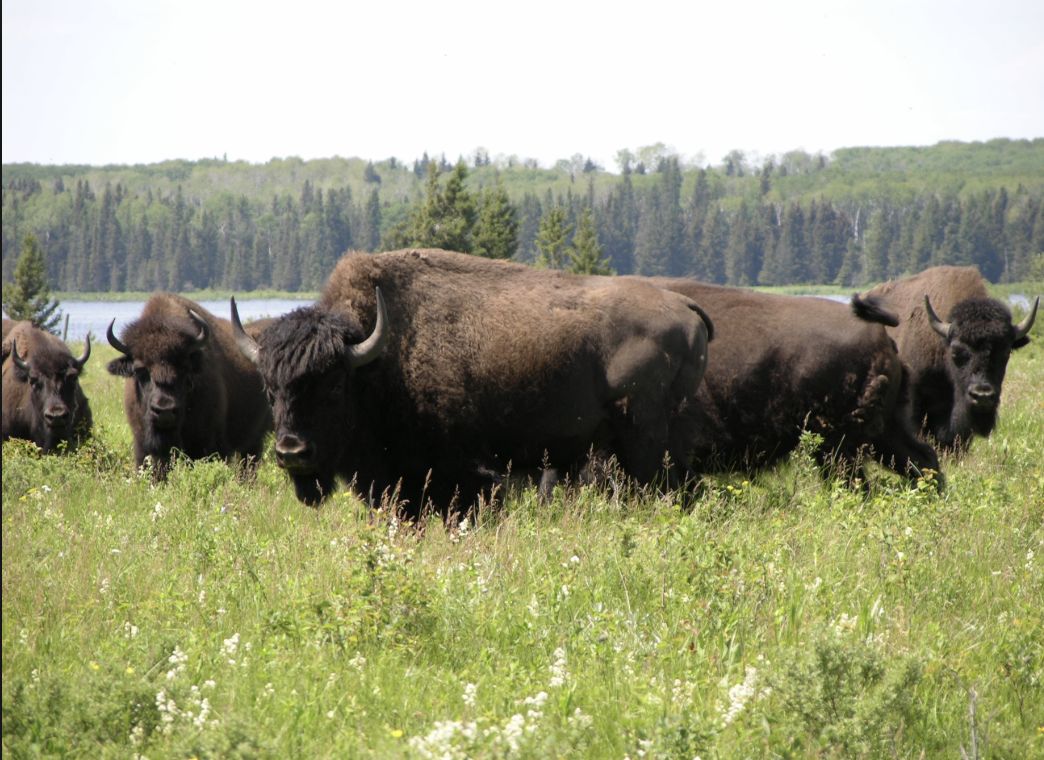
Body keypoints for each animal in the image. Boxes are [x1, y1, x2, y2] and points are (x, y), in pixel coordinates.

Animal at [232, 247, 714, 511]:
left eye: (333, 386)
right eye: (270, 390)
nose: (292, 452)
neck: (377, 359)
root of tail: (684, 306)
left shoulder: (464, 477)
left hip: (646, 445)